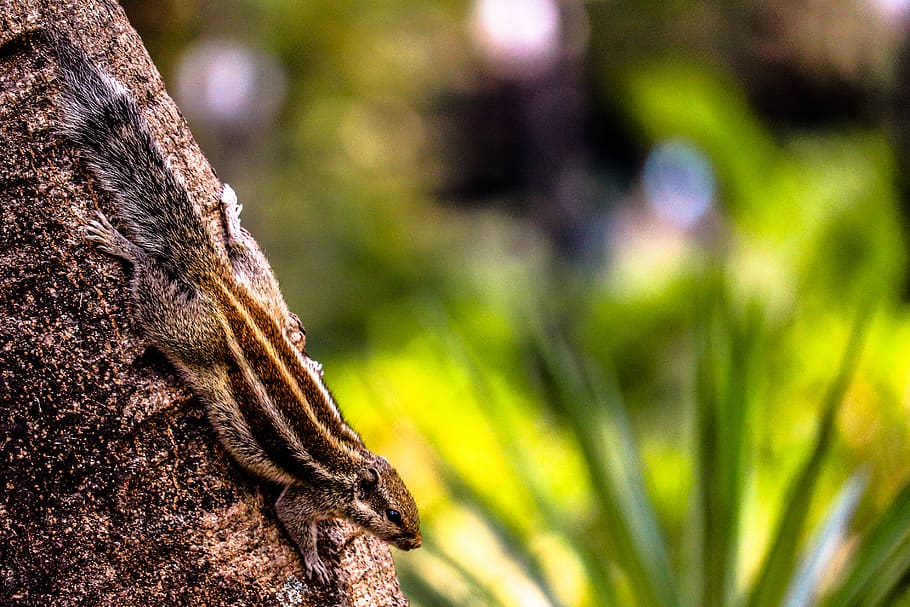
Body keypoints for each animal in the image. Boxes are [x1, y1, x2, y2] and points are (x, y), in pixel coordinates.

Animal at [50, 34, 421, 583]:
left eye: (411, 507)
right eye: (394, 513)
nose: (416, 542)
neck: (350, 464)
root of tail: (222, 287)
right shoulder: (310, 496)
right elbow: (292, 516)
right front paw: (315, 560)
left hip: (255, 281)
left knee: (241, 251)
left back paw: (228, 216)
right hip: (185, 328)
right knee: (151, 276)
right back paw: (126, 245)